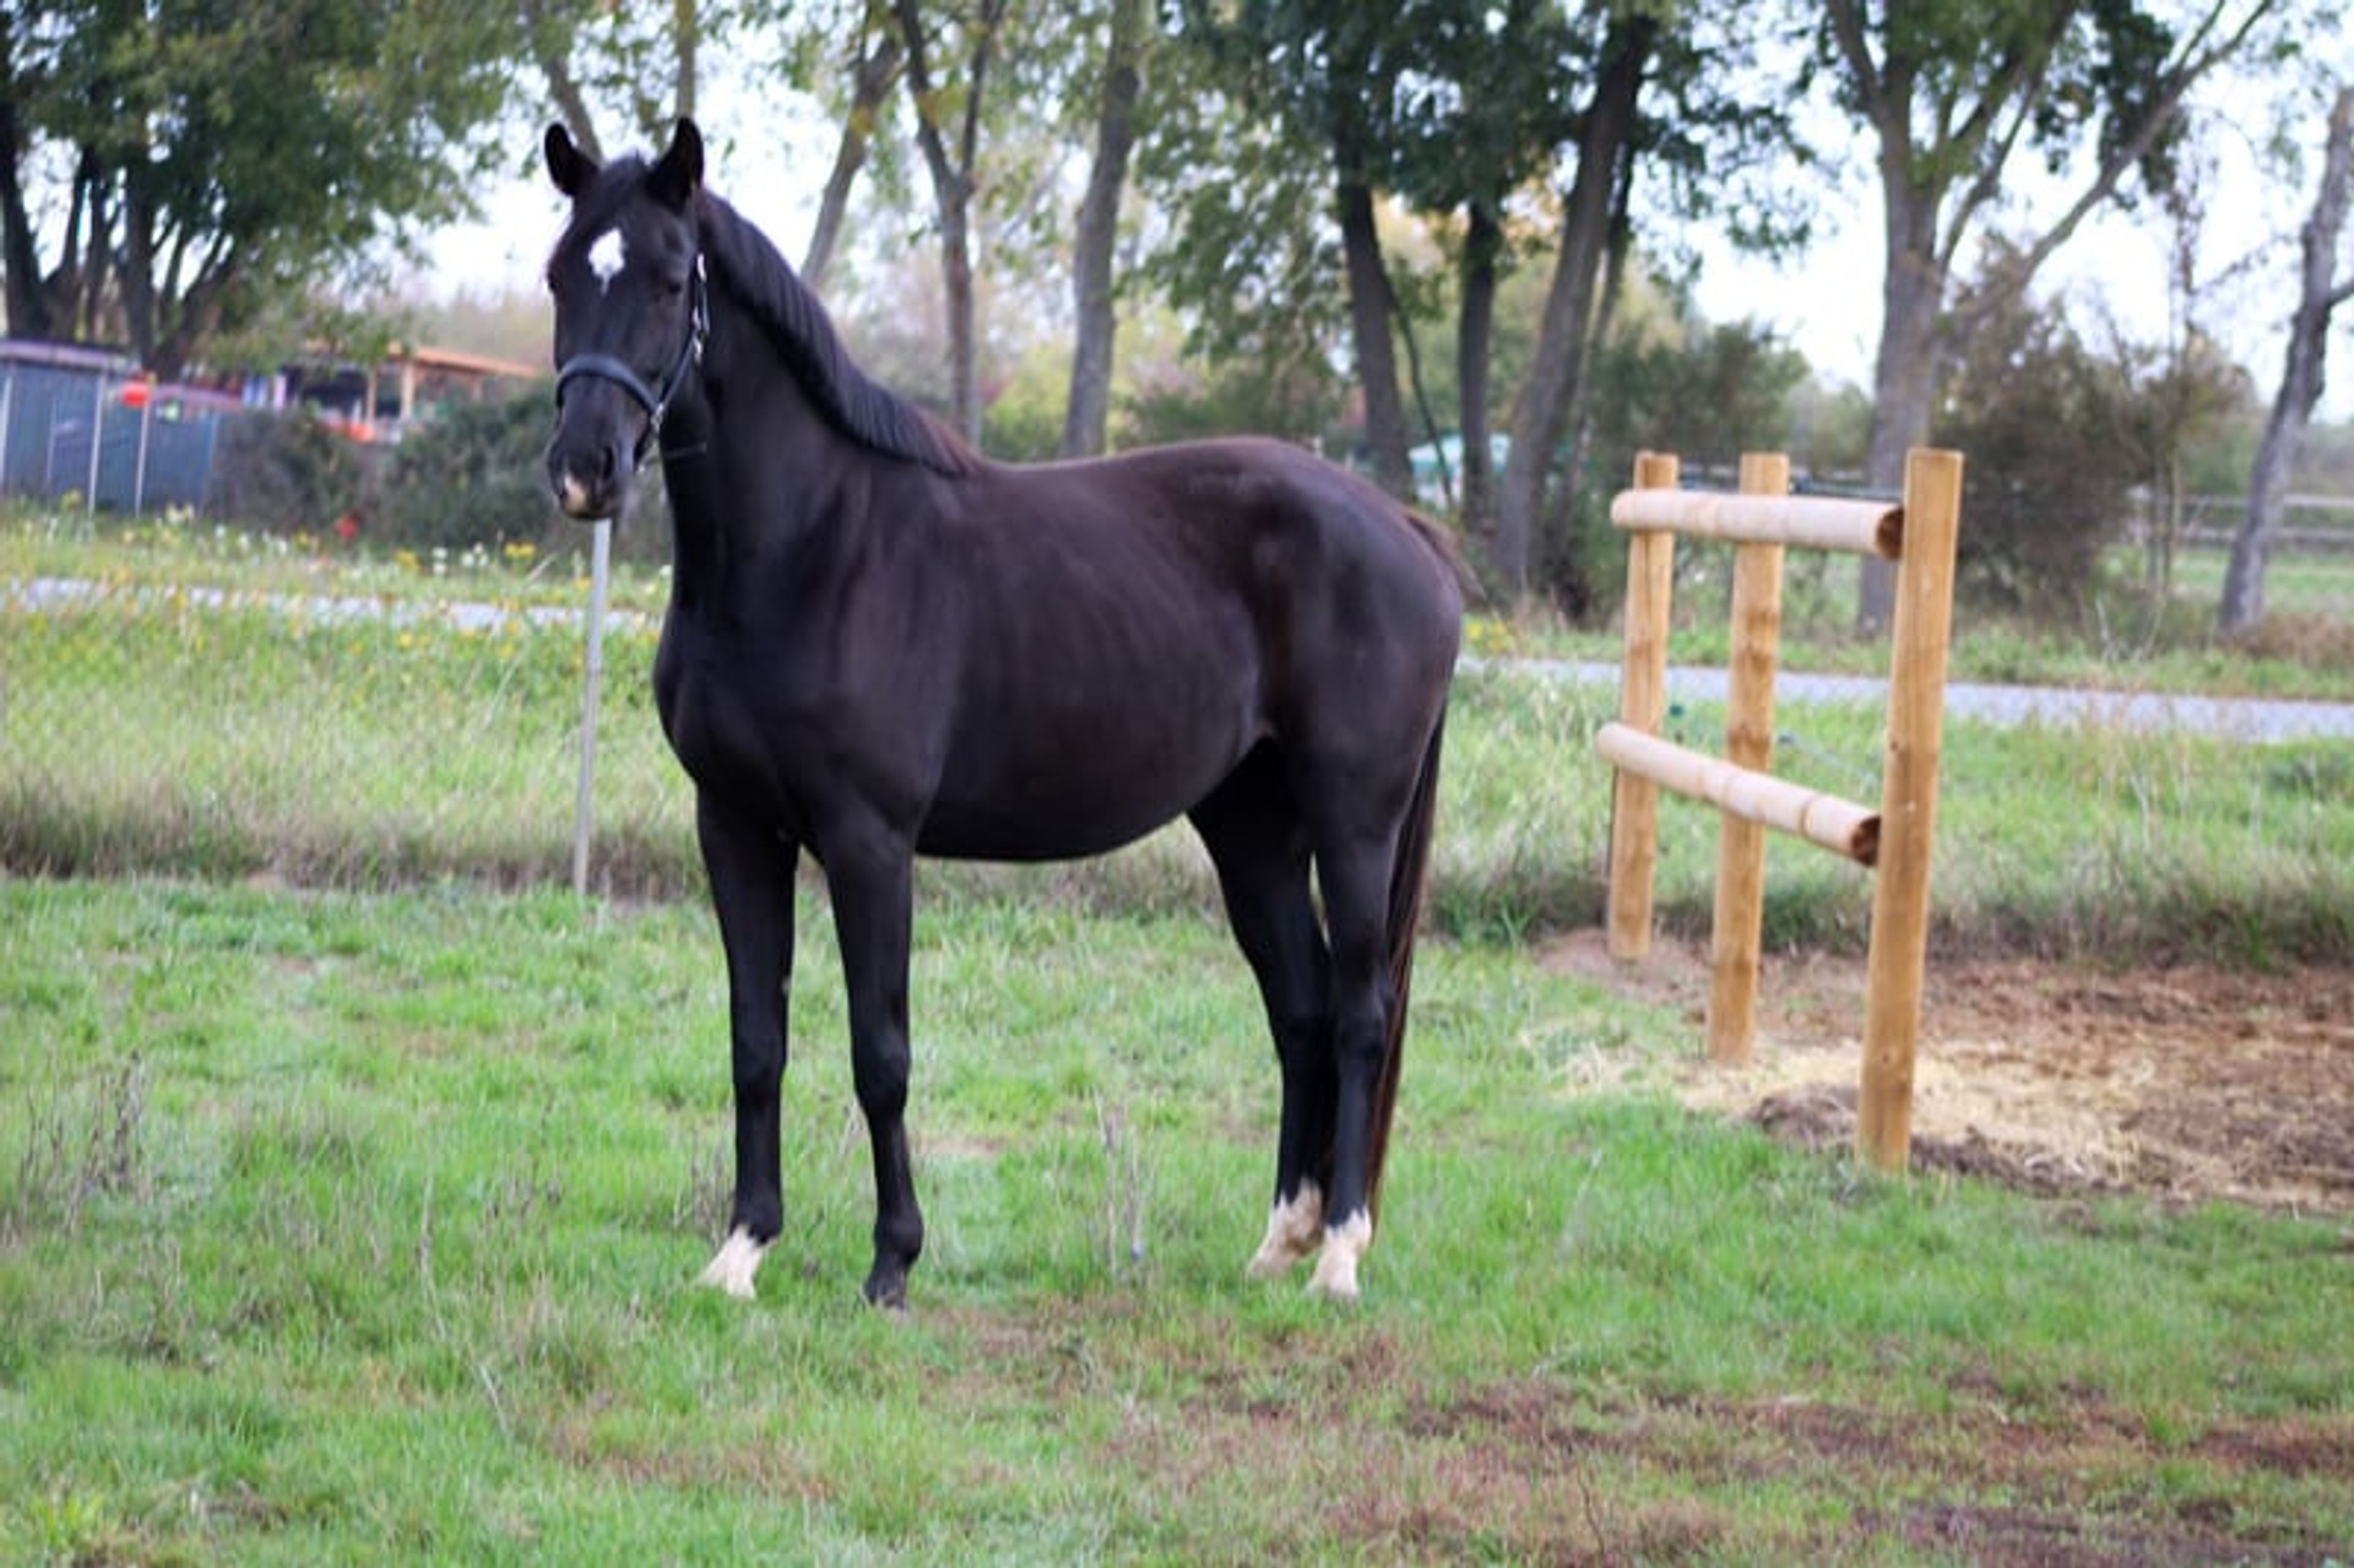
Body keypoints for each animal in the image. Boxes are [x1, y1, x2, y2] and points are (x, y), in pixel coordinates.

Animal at [539, 118, 1460, 1308]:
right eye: (562, 276)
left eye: (667, 277)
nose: (584, 470)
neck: (810, 550)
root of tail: (1408, 529)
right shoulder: (736, 827)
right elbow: (757, 1040)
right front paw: (742, 1250)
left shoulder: (870, 841)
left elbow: (881, 1052)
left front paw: (893, 1261)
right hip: (1252, 829)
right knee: (1299, 1013)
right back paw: (1278, 1242)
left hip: (1354, 826)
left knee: (1357, 1016)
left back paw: (1339, 1252)